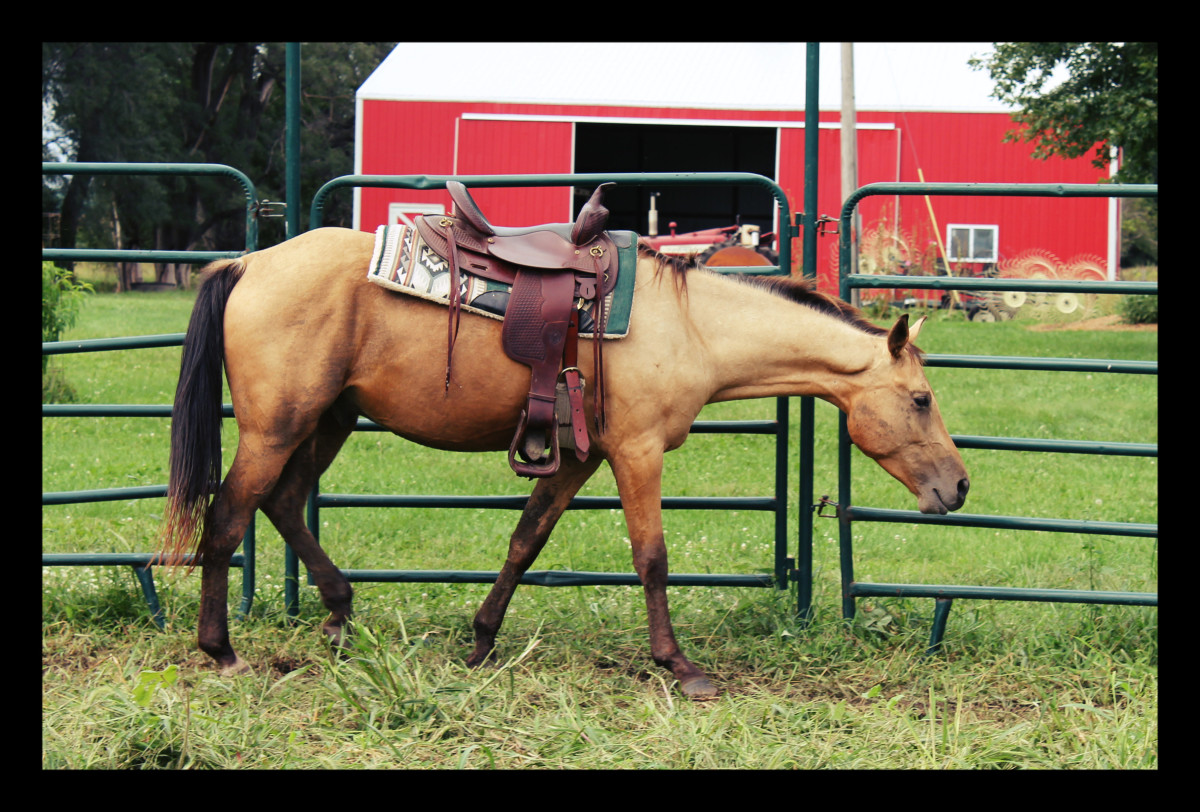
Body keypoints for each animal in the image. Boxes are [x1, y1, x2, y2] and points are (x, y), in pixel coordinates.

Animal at [159, 220, 969, 695]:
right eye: (921, 399)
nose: (959, 487)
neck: (692, 325)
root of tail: (248, 261)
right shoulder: (638, 450)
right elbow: (652, 558)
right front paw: (680, 666)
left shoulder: (581, 456)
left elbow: (526, 540)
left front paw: (482, 641)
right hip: (277, 426)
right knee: (228, 518)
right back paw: (222, 651)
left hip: (329, 419)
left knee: (281, 503)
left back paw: (337, 616)